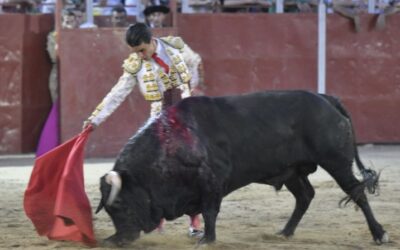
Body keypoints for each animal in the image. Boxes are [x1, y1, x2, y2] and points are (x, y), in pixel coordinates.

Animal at [95, 90, 390, 246]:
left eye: (120, 206)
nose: (116, 240)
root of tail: (325, 97)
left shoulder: (211, 182)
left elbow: (210, 211)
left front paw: (207, 239)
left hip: (336, 162)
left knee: (356, 192)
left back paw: (379, 234)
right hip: (293, 170)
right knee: (305, 196)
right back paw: (285, 232)